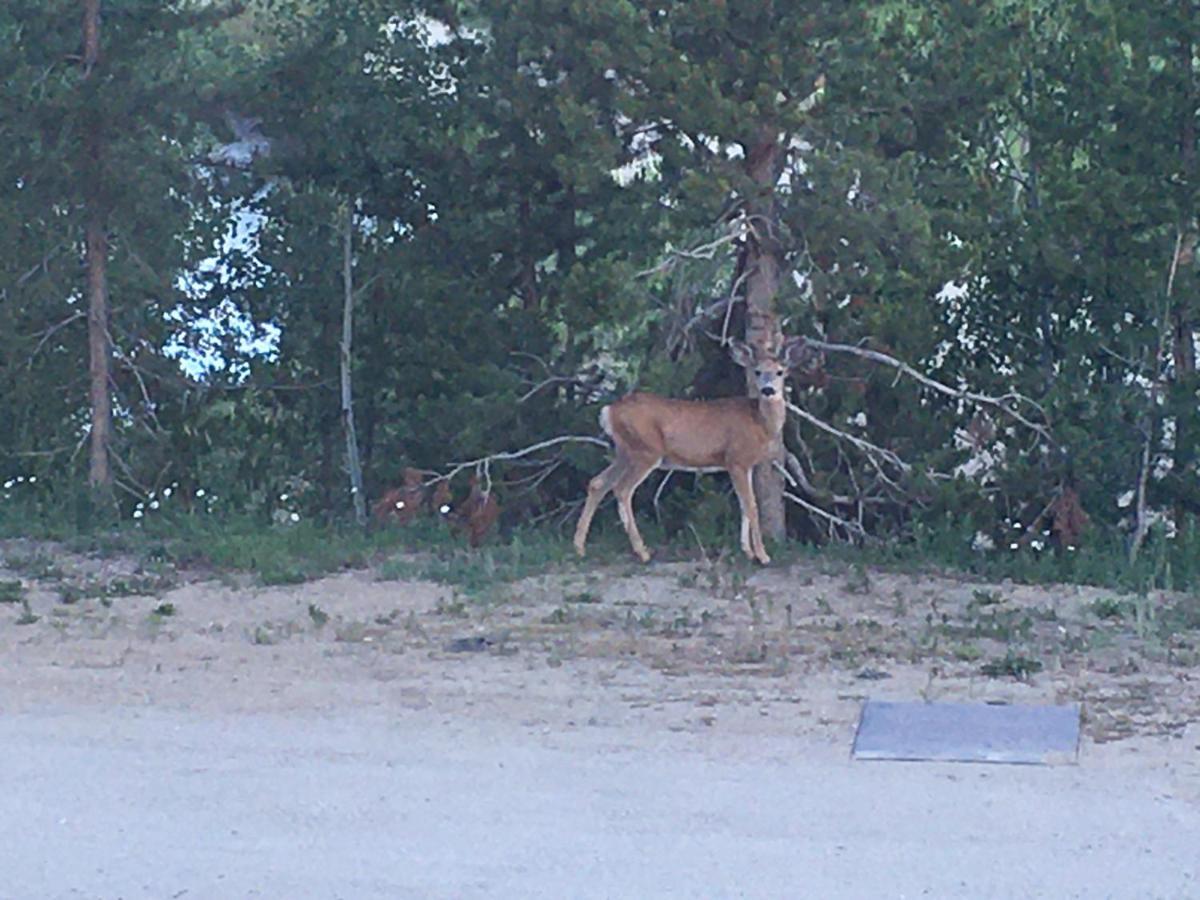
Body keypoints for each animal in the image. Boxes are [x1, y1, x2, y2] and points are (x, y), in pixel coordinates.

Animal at [573, 338, 820, 564]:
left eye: (780, 372)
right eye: (757, 372)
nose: (768, 390)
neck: (758, 422)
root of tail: (609, 411)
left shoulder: (745, 464)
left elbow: (743, 504)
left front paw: (747, 551)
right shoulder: (736, 459)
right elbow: (751, 505)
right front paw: (762, 555)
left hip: (625, 452)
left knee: (598, 483)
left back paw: (579, 548)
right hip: (646, 451)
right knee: (622, 490)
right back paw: (642, 552)